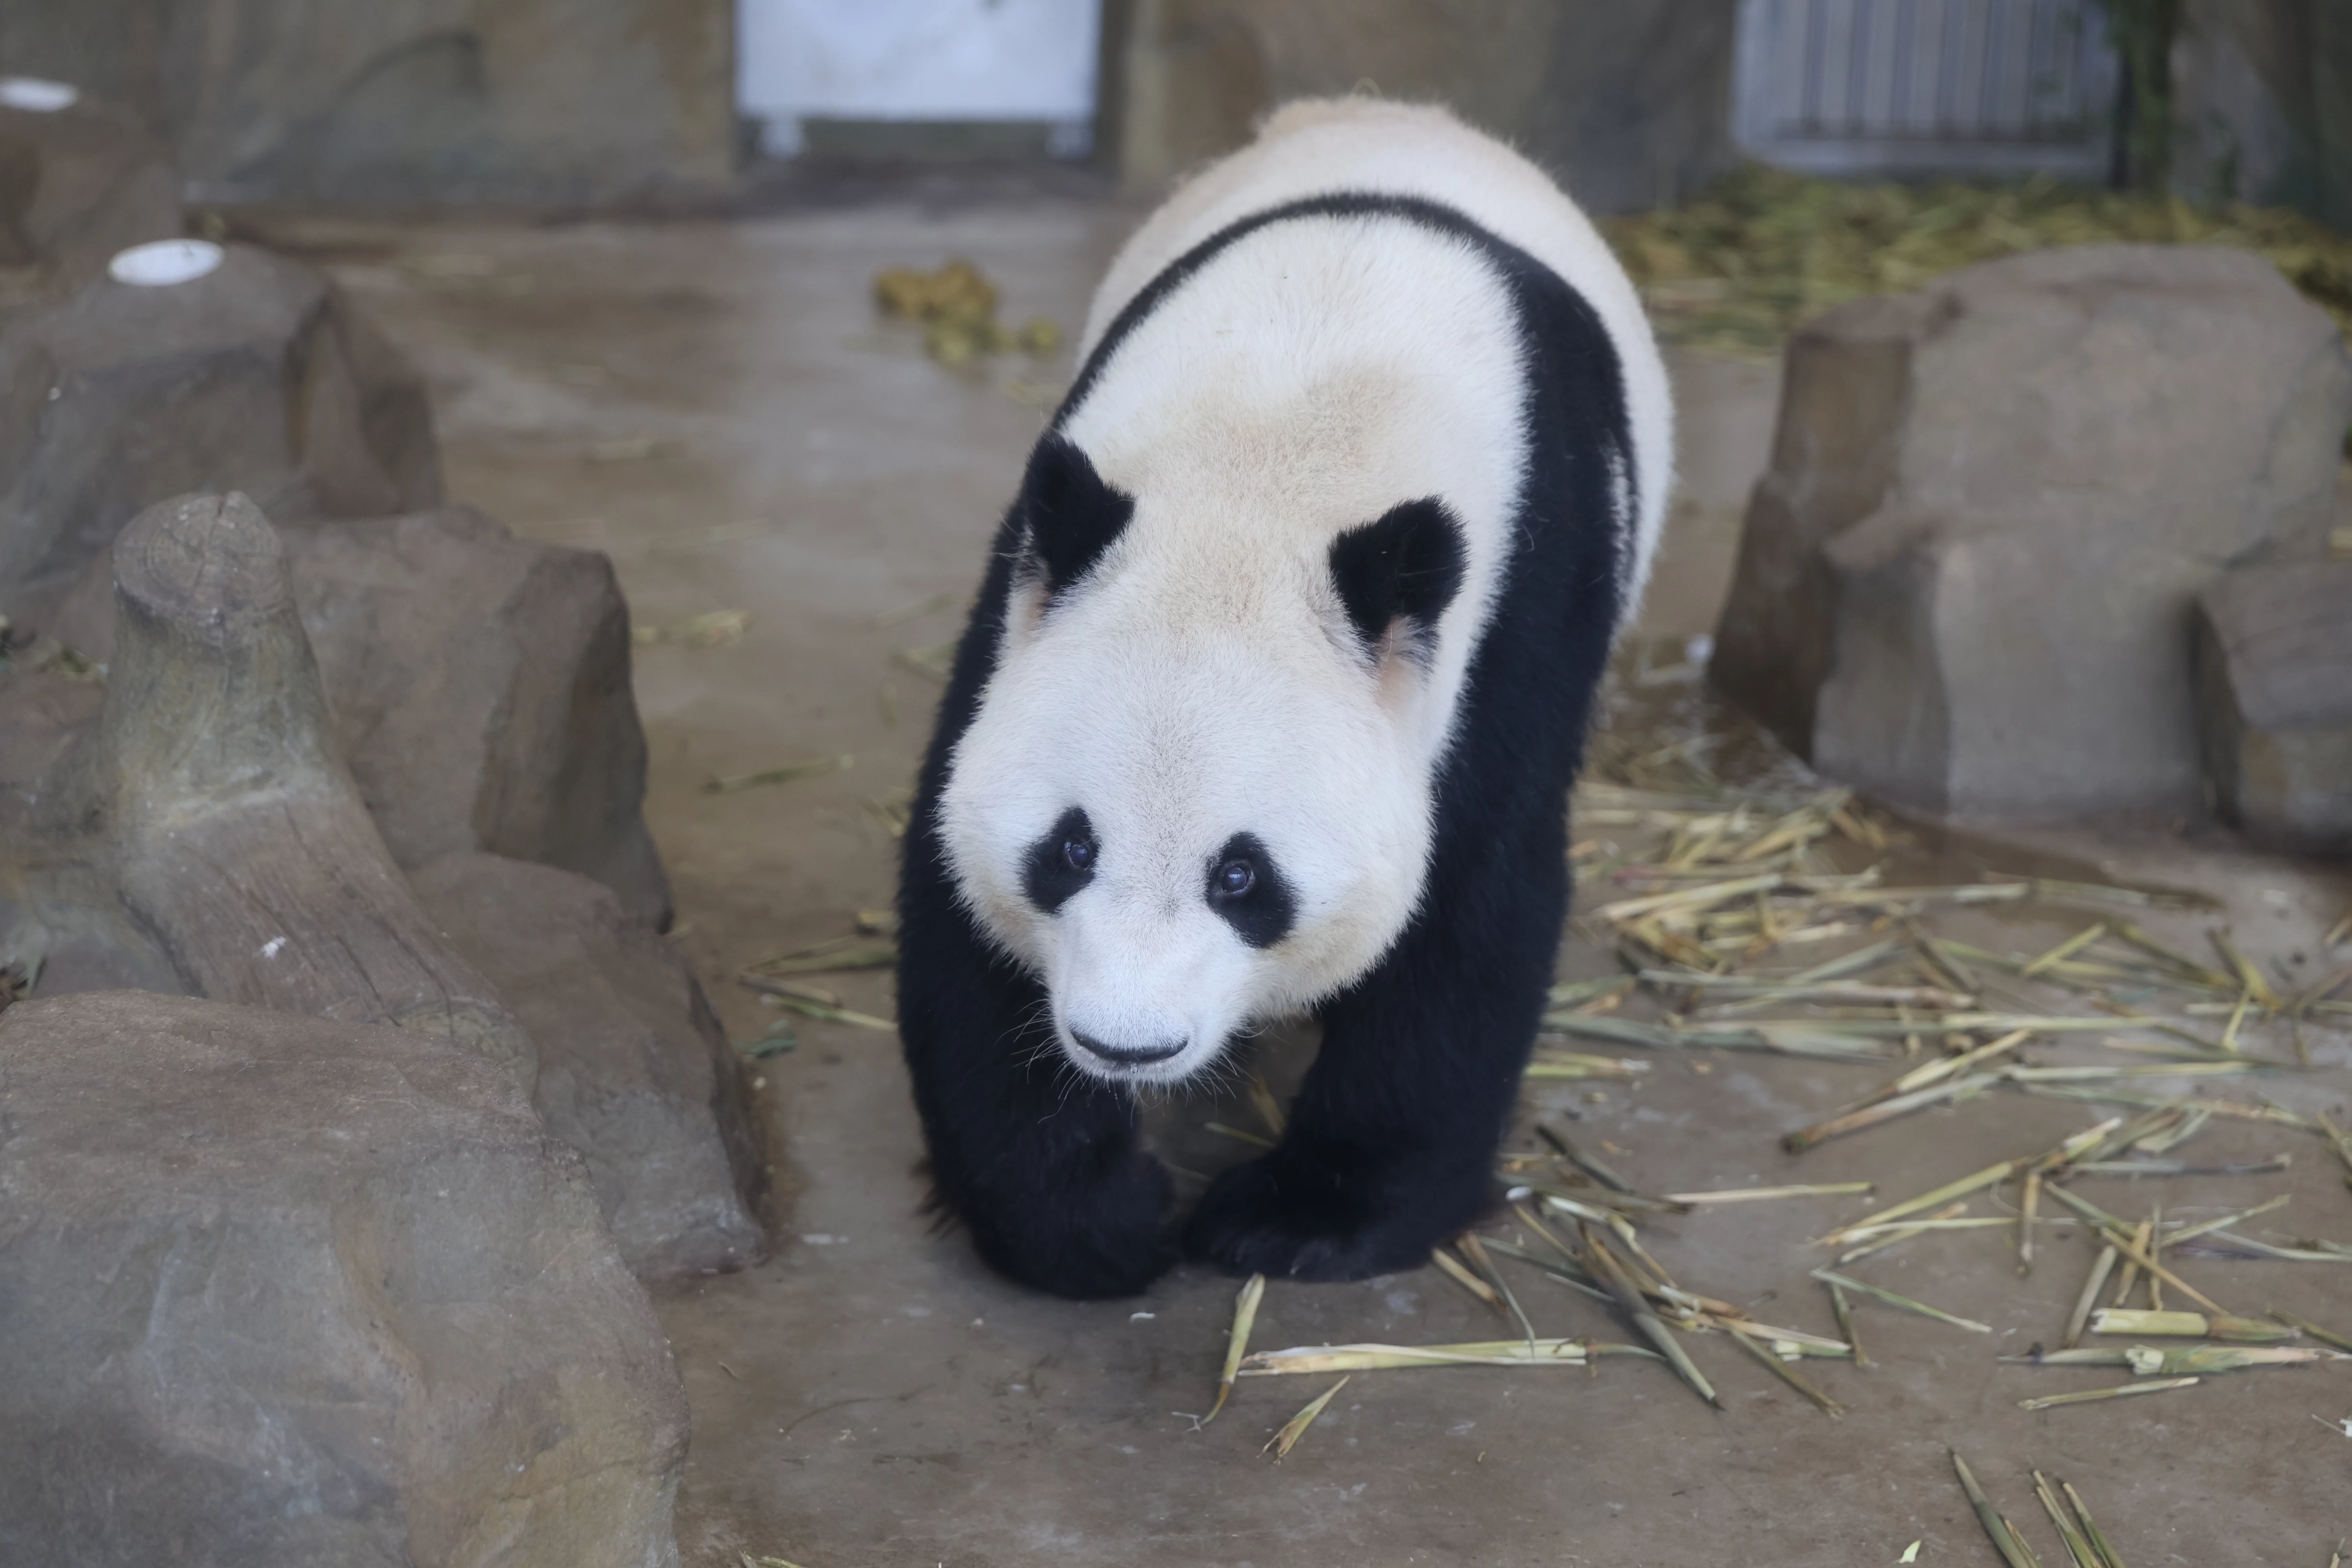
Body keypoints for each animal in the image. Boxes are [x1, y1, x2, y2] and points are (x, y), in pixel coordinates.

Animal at [897, 98, 1672, 1299]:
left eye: (1242, 876)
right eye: (1069, 848)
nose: (1127, 1045)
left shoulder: (1519, 611)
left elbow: (1471, 908)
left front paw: (1300, 1220)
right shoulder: (1038, 578)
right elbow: (955, 880)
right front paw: (1093, 1222)